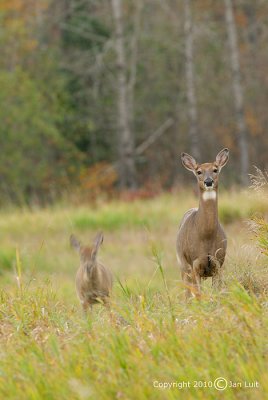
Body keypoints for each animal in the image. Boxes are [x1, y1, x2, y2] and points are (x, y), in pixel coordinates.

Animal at [177, 148, 229, 298]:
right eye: (199, 171)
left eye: (215, 169)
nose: (208, 181)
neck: (206, 237)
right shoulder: (195, 264)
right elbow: (199, 295)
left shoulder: (218, 263)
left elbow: (217, 293)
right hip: (183, 266)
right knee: (187, 294)